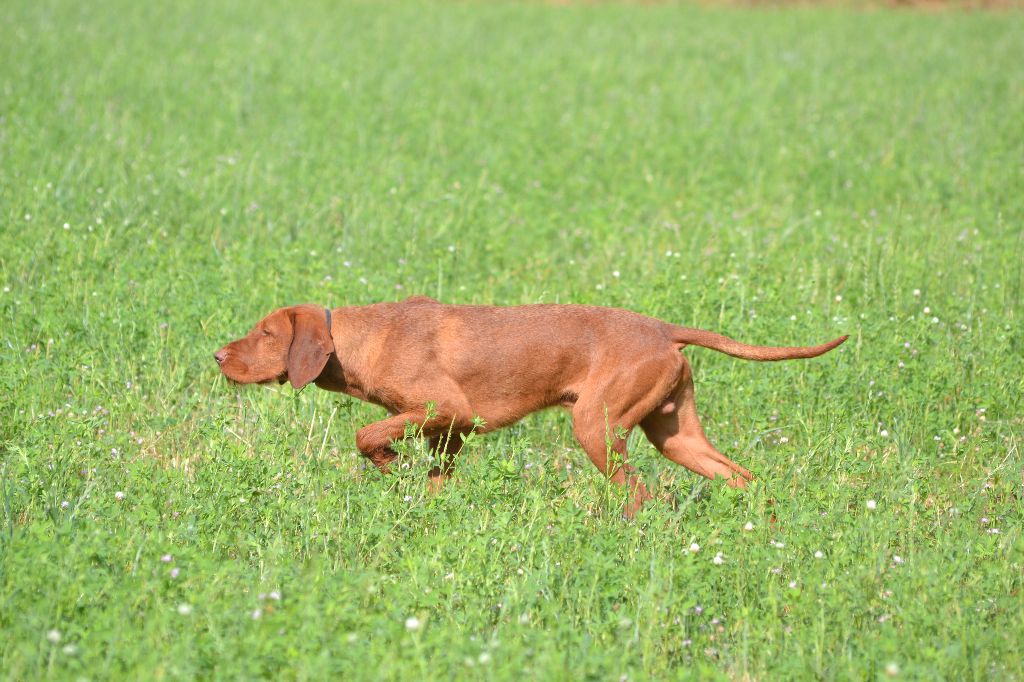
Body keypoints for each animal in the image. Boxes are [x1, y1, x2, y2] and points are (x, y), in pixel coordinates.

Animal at [216, 296, 847, 516]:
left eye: (265, 334)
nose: (218, 355)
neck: (362, 338)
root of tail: (664, 329)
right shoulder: (450, 432)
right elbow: (435, 480)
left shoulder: (444, 408)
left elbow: (366, 435)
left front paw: (390, 469)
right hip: (676, 435)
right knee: (742, 478)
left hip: (596, 426)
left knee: (639, 495)